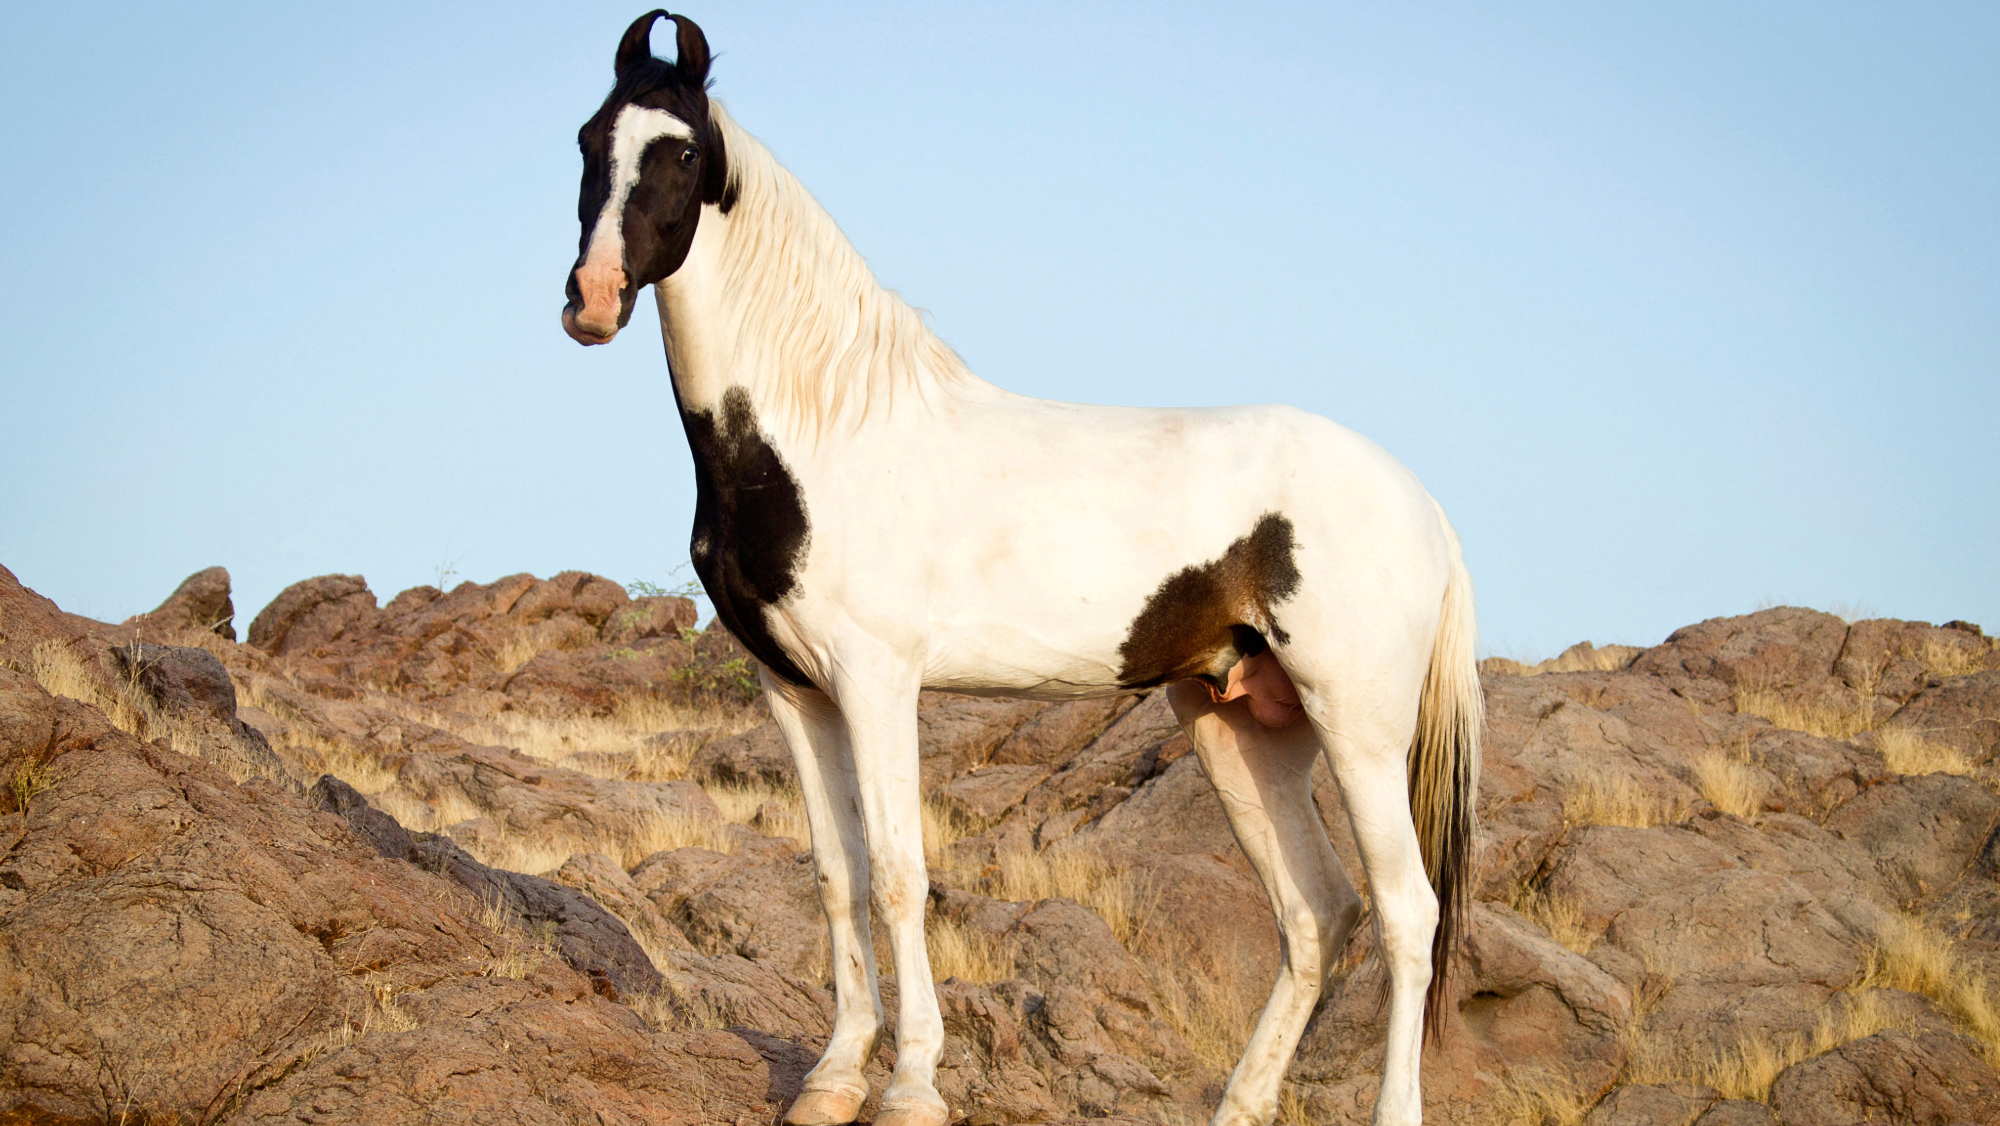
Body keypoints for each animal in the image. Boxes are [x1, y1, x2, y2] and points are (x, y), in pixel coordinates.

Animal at [560, 13, 1482, 1126]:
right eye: (586, 140)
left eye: (684, 153)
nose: (591, 301)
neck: (819, 432)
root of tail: (1422, 504)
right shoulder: (794, 690)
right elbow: (833, 875)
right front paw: (832, 1078)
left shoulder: (877, 681)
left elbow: (898, 873)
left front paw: (911, 1085)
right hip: (1241, 724)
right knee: (1316, 912)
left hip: (1358, 726)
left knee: (1404, 913)